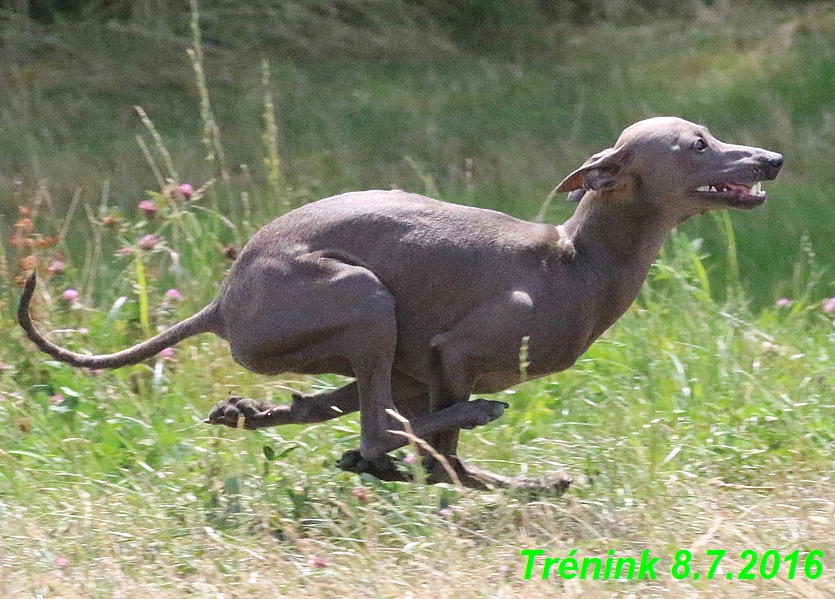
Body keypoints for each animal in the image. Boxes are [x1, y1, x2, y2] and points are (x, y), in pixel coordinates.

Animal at [16, 117, 780, 488]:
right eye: (696, 144)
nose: (772, 159)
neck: (575, 260)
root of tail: (224, 301)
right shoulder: (457, 351)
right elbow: (442, 451)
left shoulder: (432, 367)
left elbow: (444, 460)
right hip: (364, 299)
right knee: (384, 430)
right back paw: (448, 435)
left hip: (377, 350)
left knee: (349, 415)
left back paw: (259, 414)